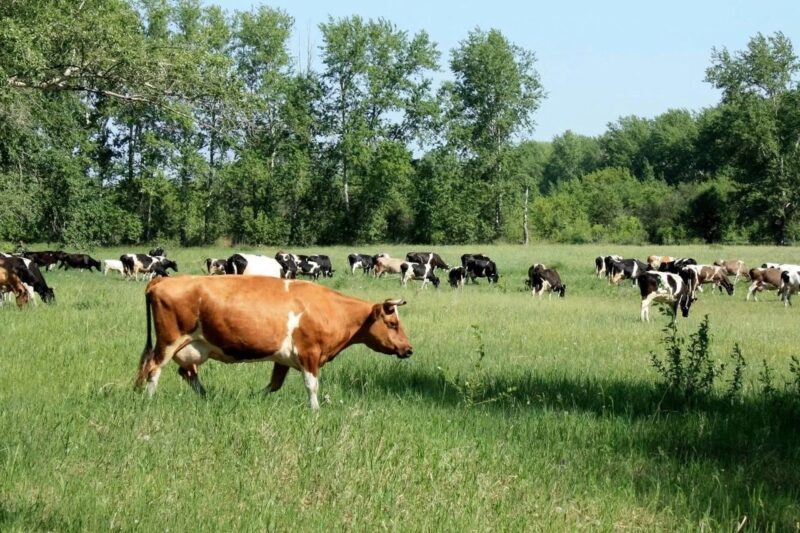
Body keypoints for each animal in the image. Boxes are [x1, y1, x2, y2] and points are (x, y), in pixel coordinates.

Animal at [134, 276, 412, 410]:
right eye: (392, 324)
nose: (409, 349)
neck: (330, 309)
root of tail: (163, 280)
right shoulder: (309, 353)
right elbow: (312, 385)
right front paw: (315, 411)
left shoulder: (284, 359)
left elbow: (274, 385)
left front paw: (253, 399)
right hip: (169, 342)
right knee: (153, 369)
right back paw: (149, 400)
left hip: (190, 347)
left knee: (187, 373)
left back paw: (207, 397)